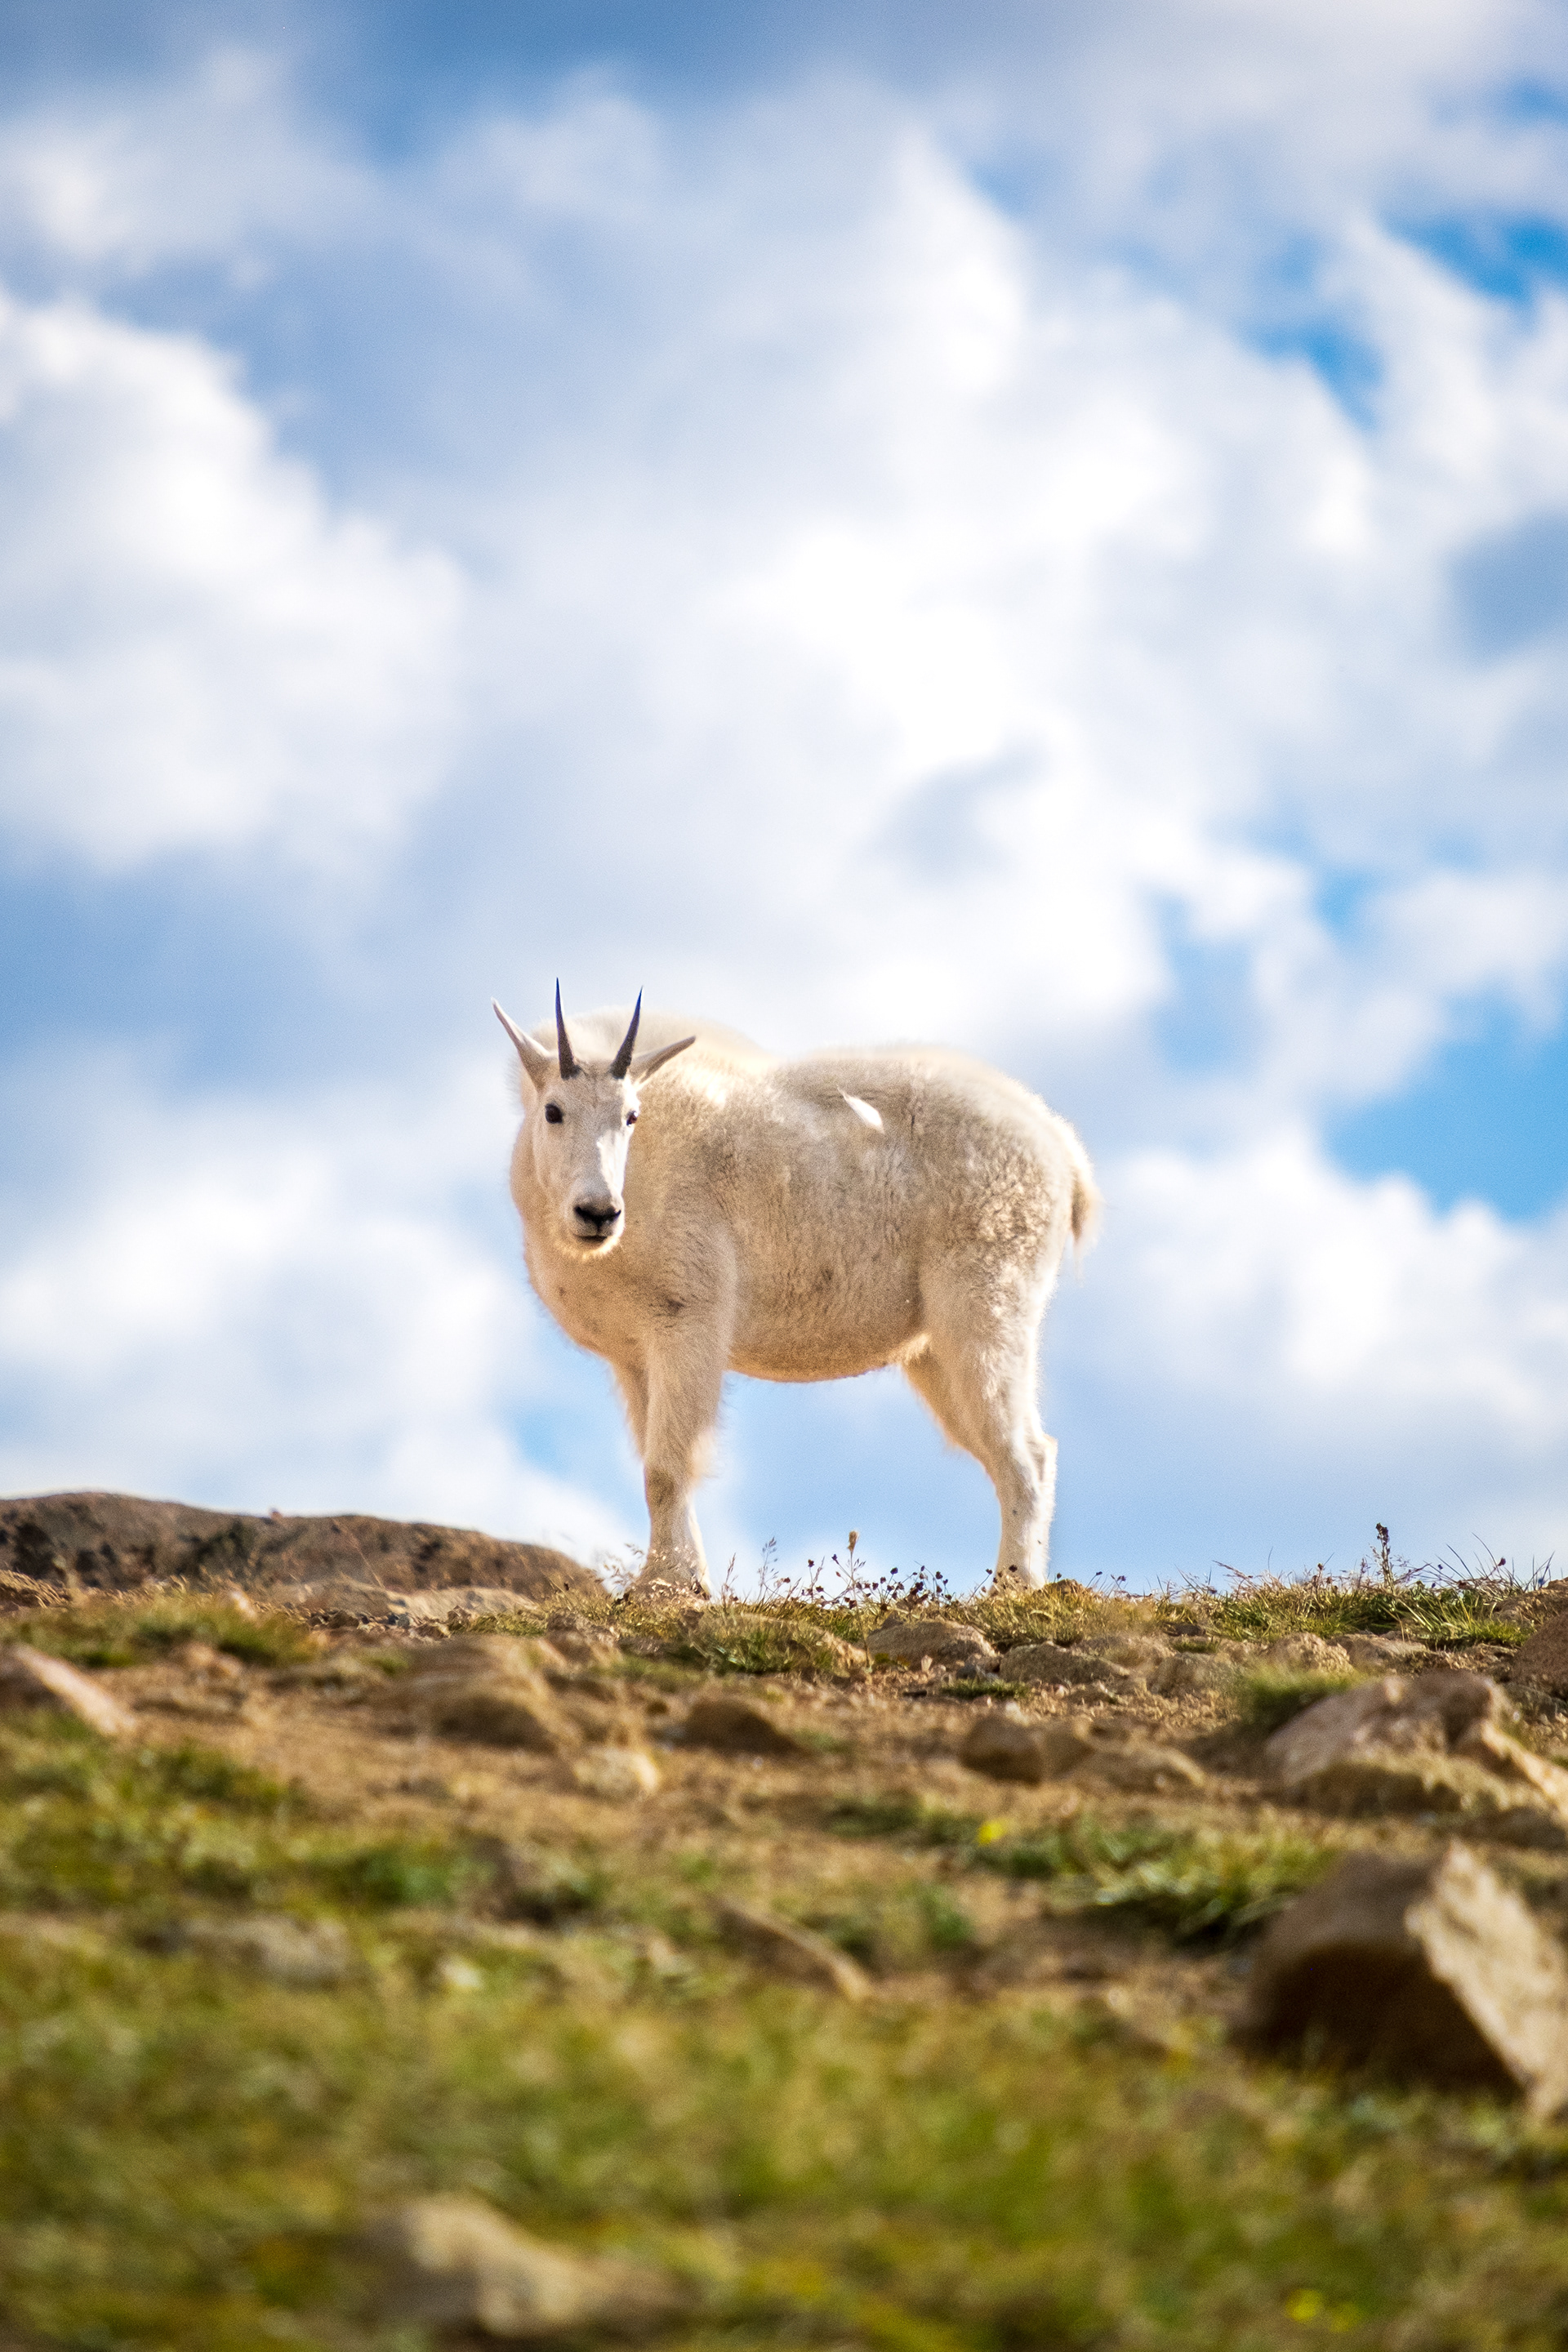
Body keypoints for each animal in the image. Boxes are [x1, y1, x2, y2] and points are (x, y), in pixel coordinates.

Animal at [494, 988, 1099, 1593]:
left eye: (630, 1116)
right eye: (554, 1111)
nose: (598, 1212)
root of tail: (1062, 1150)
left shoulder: (687, 1320)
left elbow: (668, 1468)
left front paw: (665, 1589)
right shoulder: (635, 1354)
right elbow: (654, 1464)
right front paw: (676, 1580)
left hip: (989, 1301)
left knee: (1026, 1454)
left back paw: (1012, 1586)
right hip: (936, 1348)